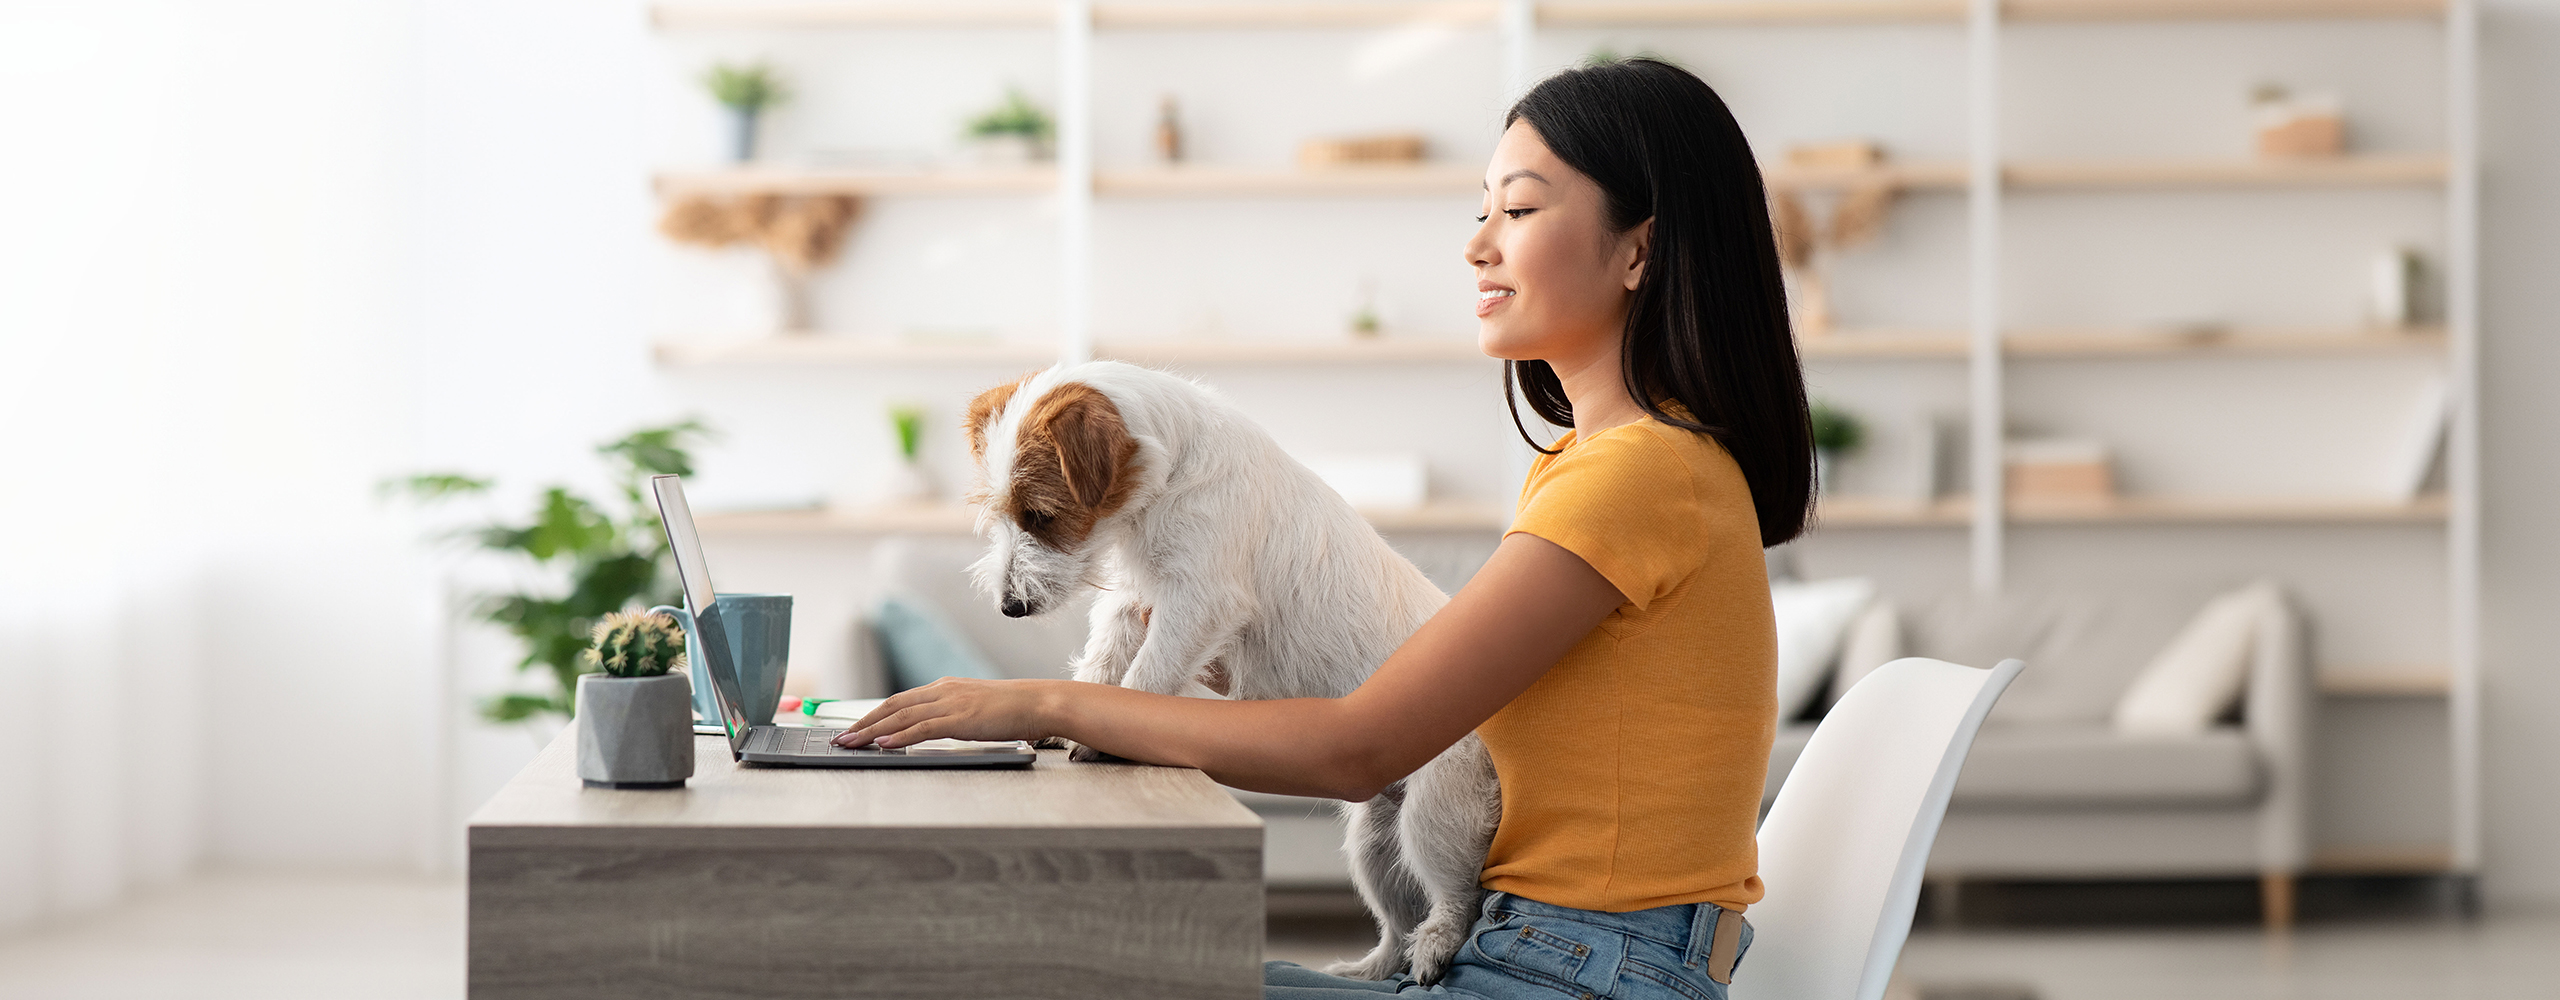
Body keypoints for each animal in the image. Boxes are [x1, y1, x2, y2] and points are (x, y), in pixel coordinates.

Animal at [967, 363, 1505, 987]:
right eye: (1002, 515)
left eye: (1041, 515)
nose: (1010, 608)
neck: (1171, 474)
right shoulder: (1131, 602)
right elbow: (1103, 661)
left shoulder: (1197, 602)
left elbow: (1145, 676)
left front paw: (1102, 738)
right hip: (1375, 842)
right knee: (1396, 924)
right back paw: (1362, 971)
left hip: (1432, 814)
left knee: (1458, 896)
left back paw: (1434, 946)